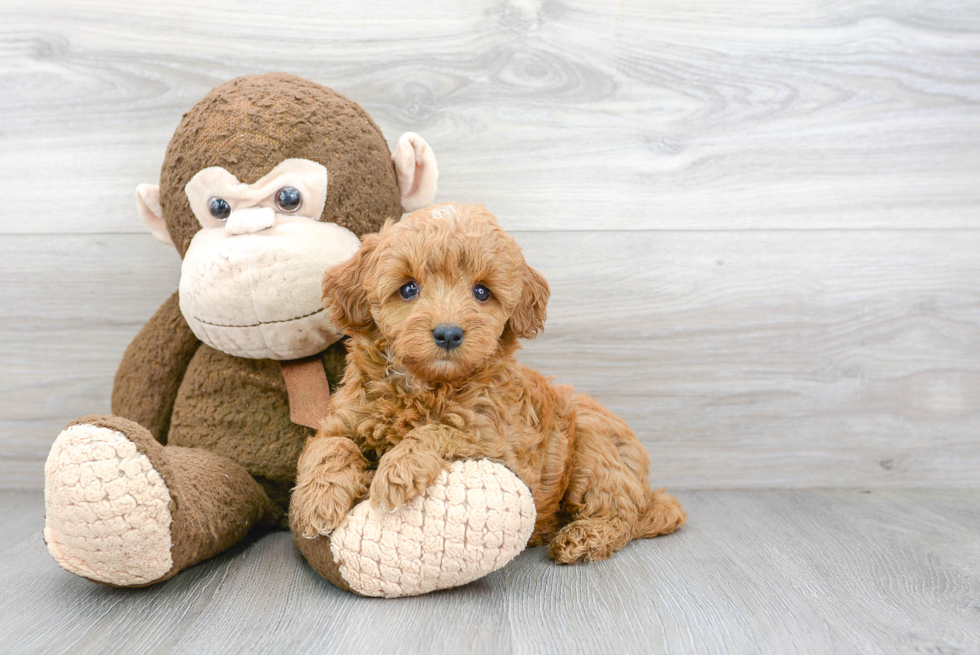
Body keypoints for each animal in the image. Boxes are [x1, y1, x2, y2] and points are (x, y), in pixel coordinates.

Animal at [294, 205, 684, 564]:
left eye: (482, 292)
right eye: (408, 288)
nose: (448, 333)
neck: (426, 385)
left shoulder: (499, 445)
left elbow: (440, 431)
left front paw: (398, 470)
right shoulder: (344, 418)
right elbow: (330, 446)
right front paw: (316, 502)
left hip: (594, 447)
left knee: (622, 516)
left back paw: (583, 537)